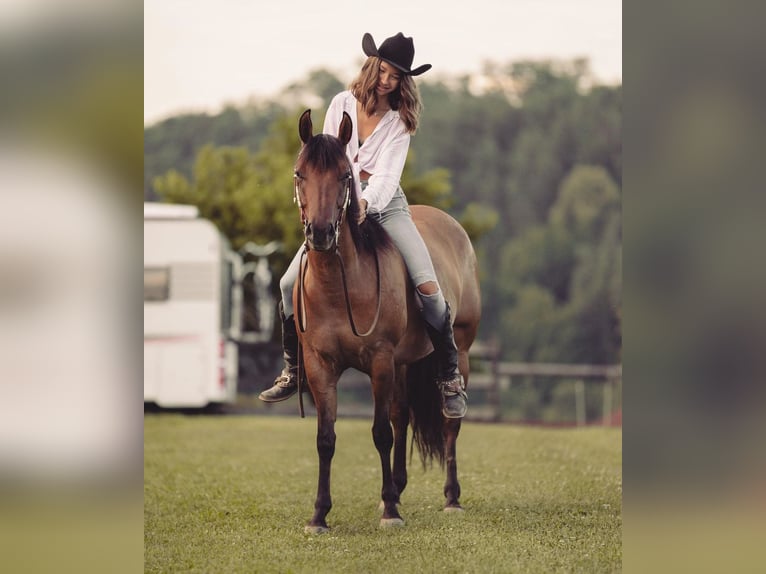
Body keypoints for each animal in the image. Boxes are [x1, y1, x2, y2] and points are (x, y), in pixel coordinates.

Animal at [292, 109, 480, 536]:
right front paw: (319, 515)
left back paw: (451, 498)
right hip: (403, 364)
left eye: (344, 176)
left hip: (458, 352)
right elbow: (326, 438)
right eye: (300, 174)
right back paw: (395, 488)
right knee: (402, 415)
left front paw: (391, 513)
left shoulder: (379, 360)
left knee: (449, 423)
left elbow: (380, 434)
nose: (321, 233)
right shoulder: (320, 366)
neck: (340, 286)